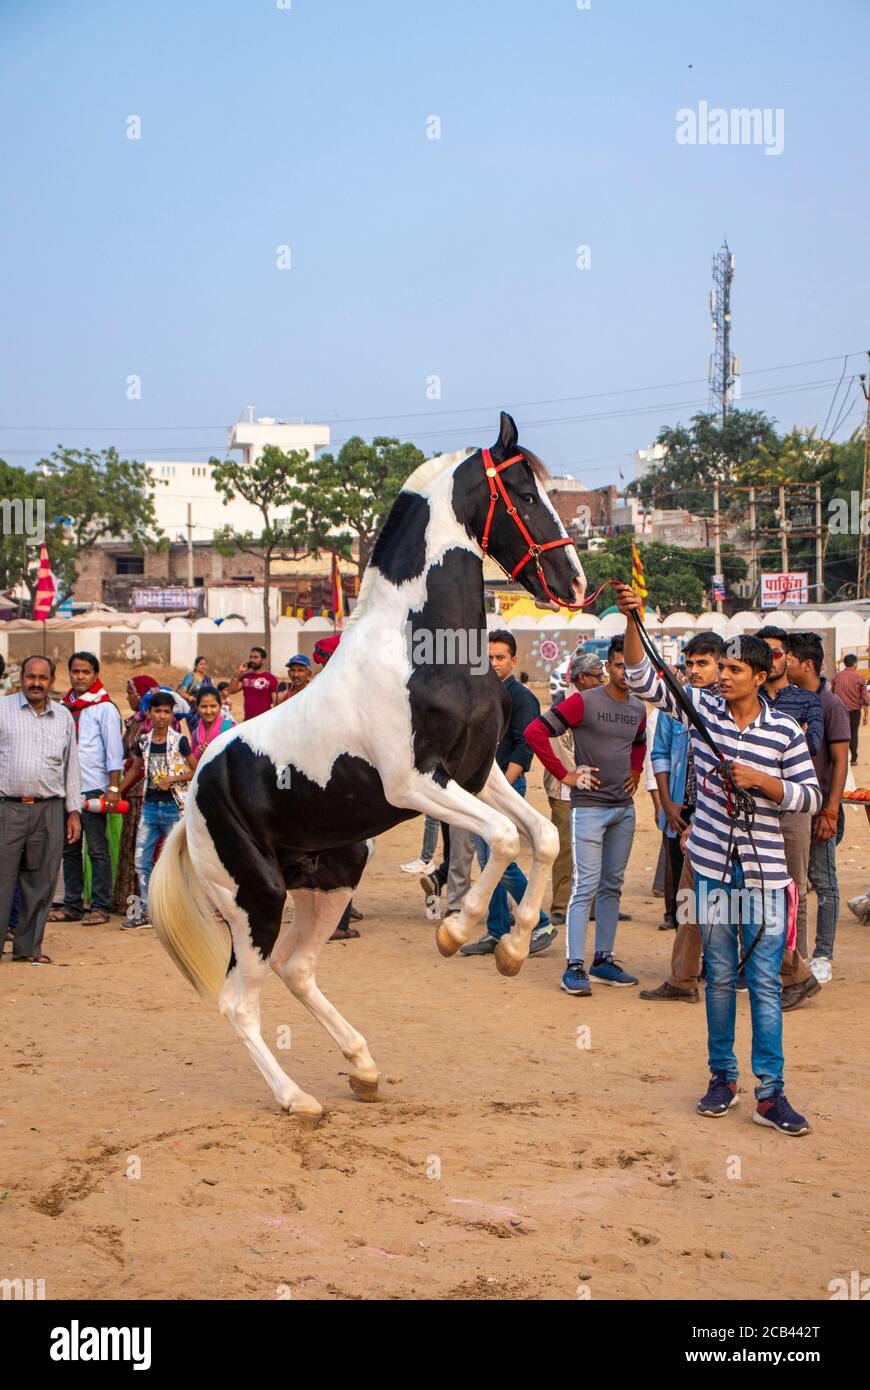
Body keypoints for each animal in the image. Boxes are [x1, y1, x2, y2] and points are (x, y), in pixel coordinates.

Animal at [148, 414, 586, 1117]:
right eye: (522, 492)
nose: (573, 585)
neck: (422, 649)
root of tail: (190, 804)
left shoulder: (478, 774)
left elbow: (540, 835)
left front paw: (514, 948)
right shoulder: (415, 785)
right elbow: (502, 838)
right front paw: (457, 929)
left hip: (332, 879)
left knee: (297, 970)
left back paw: (362, 1068)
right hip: (254, 900)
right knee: (239, 1002)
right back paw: (298, 1099)